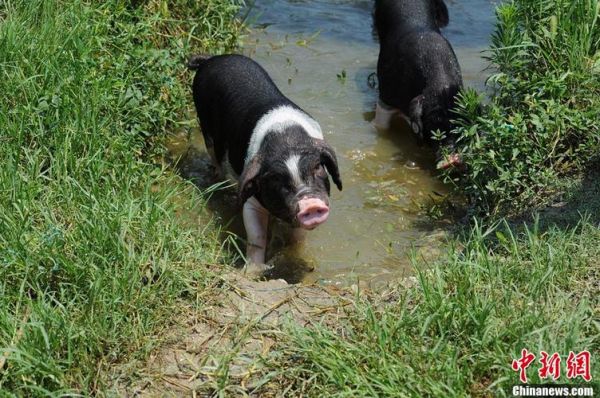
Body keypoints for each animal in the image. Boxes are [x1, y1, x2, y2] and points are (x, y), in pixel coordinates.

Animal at [188, 53, 342, 268]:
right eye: (277, 179)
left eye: (318, 167)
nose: (310, 203)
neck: (286, 140)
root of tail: (211, 59)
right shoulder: (251, 198)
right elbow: (256, 238)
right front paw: (253, 270)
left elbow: (296, 236)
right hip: (205, 123)